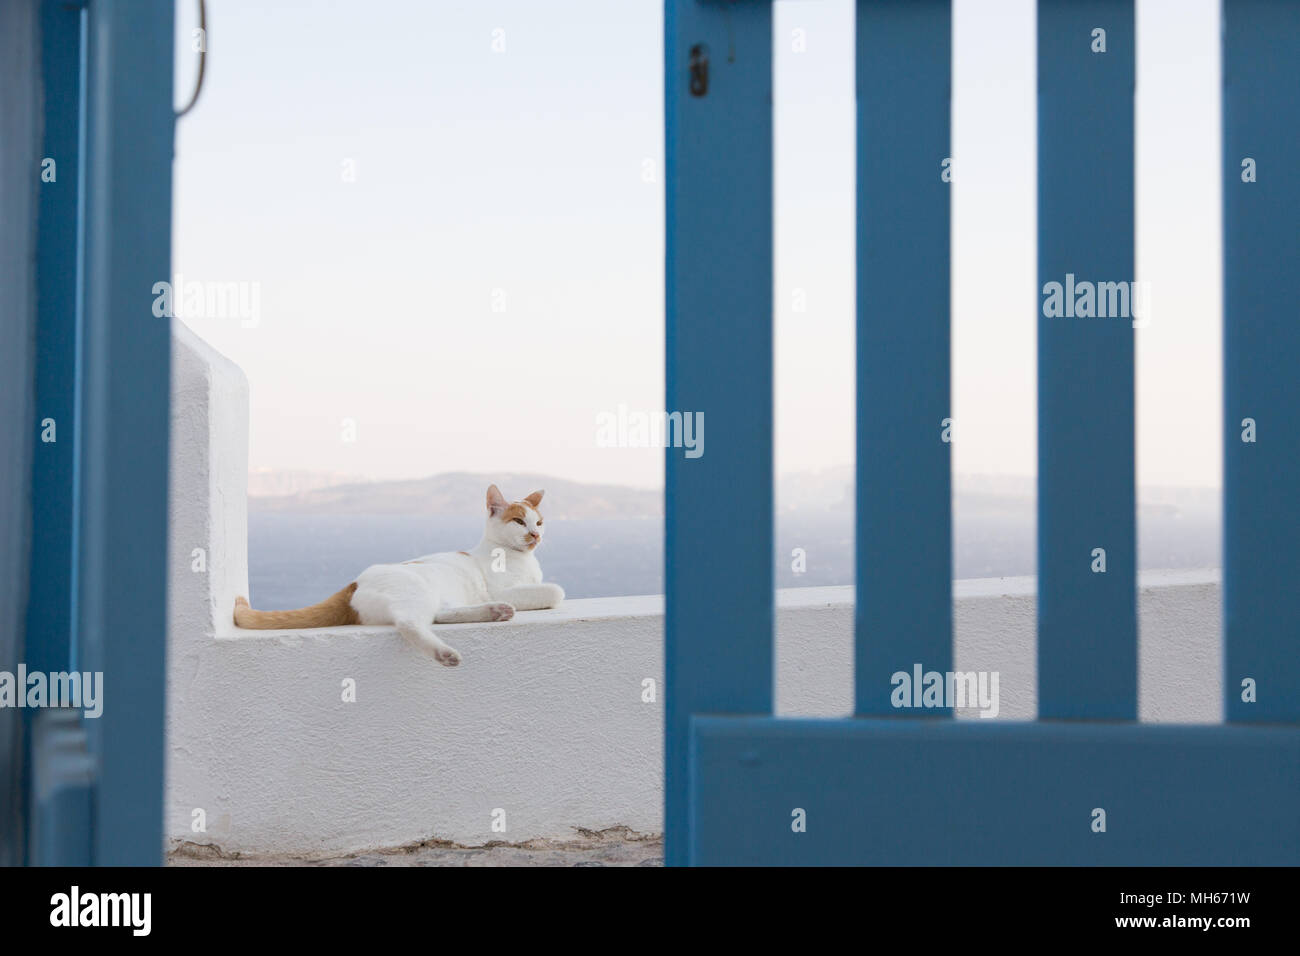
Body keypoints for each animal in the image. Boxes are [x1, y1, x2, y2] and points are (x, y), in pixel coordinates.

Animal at [232, 486, 564, 665]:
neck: (521, 558)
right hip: (416, 593)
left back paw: (496, 612)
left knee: (440, 615)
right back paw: (446, 652)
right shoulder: (506, 588)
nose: (536, 534)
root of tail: (354, 582)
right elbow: (555, 591)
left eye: (539, 522)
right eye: (519, 521)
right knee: (409, 623)